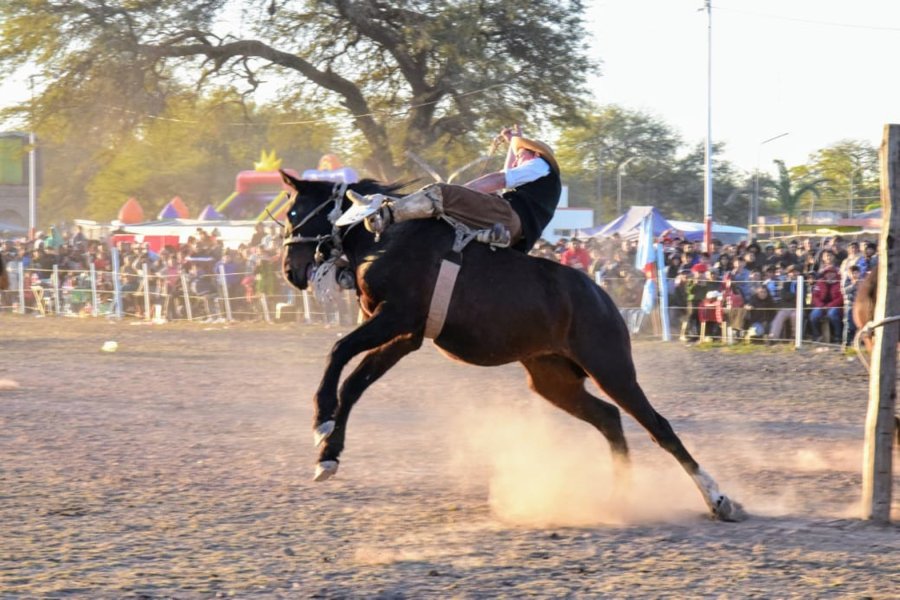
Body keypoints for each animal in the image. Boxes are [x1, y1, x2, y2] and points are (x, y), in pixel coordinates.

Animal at [282, 170, 744, 520]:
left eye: (294, 212)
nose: (289, 270)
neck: (387, 241)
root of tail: (602, 298)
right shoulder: (402, 337)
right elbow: (353, 383)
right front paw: (328, 454)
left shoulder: (395, 320)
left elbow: (339, 354)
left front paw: (321, 420)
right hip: (552, 378)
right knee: (609, 419)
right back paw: (620, 496)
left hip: (611, 368)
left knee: (658, 427)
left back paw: (719, 500)